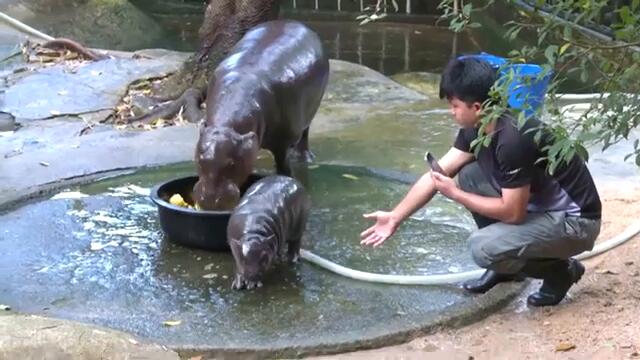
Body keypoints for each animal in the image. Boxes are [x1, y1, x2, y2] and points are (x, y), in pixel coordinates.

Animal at [192, 19, 328, 211]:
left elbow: (283, 169)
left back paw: (304, 158)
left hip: (311, 109)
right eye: (199, 159)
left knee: (305, 134)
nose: (210, 201)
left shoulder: (282, 144)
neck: (228, 125)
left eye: (231, 163)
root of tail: (295, 22)